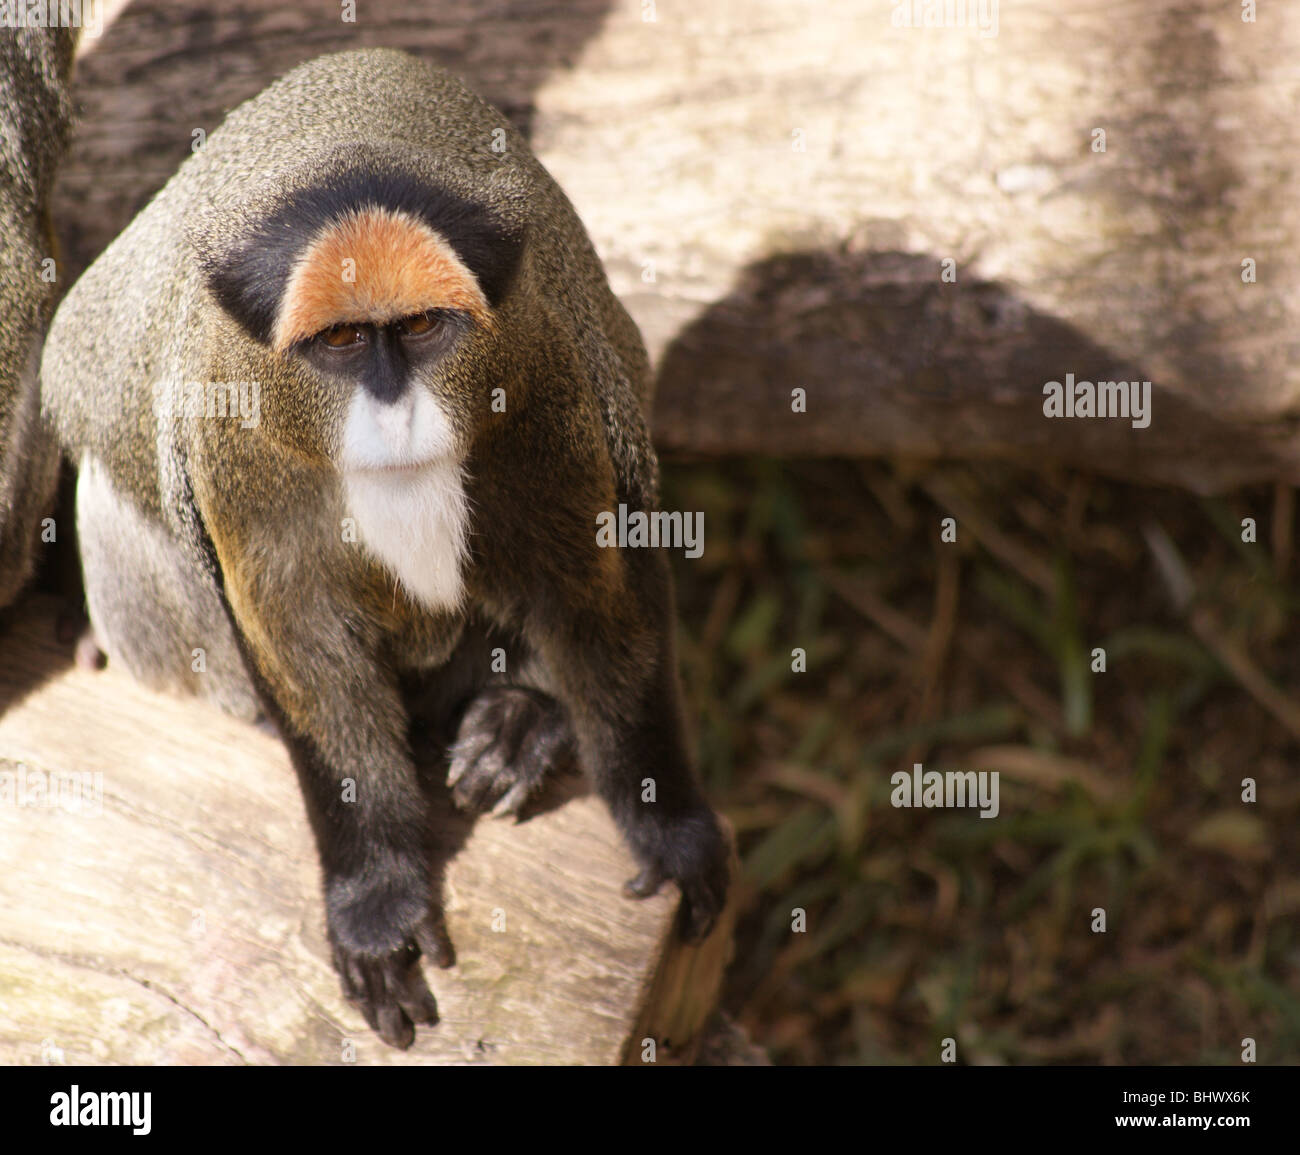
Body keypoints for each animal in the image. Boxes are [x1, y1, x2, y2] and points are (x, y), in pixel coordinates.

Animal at [41, 48, 729, 1049]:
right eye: (339, 339)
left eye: (419, 328)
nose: (394, 405)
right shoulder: (228, 435)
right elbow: (304, 648)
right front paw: (373, 907)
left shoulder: (549, 375)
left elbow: (597, 596)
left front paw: (669, 826)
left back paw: (523, 721)